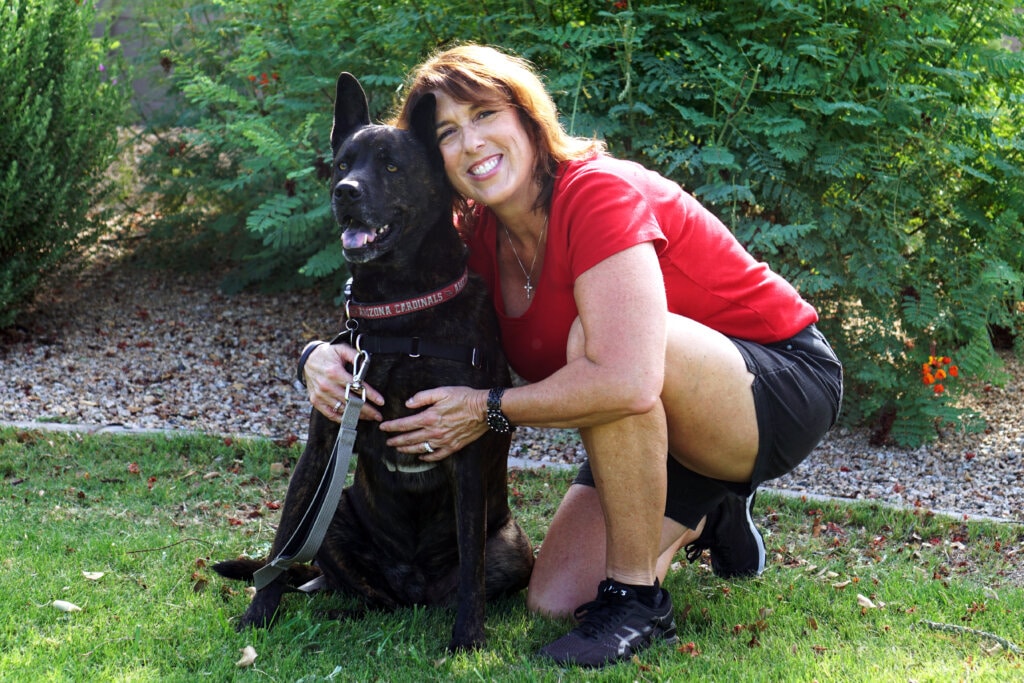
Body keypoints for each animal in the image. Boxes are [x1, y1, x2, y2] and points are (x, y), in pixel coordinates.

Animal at [216, 72, 536, 651]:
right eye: (343, 163)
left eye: (390, 166)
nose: (347, 192)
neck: (399, 312)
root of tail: (413, 592)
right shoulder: (323, 440)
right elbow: (280, 542)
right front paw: (258, 615)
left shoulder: (465, 447)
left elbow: (473, 567)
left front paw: (467, 639)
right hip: (334, 516)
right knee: (337, 581)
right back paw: (336, 609)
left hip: (515, 546)